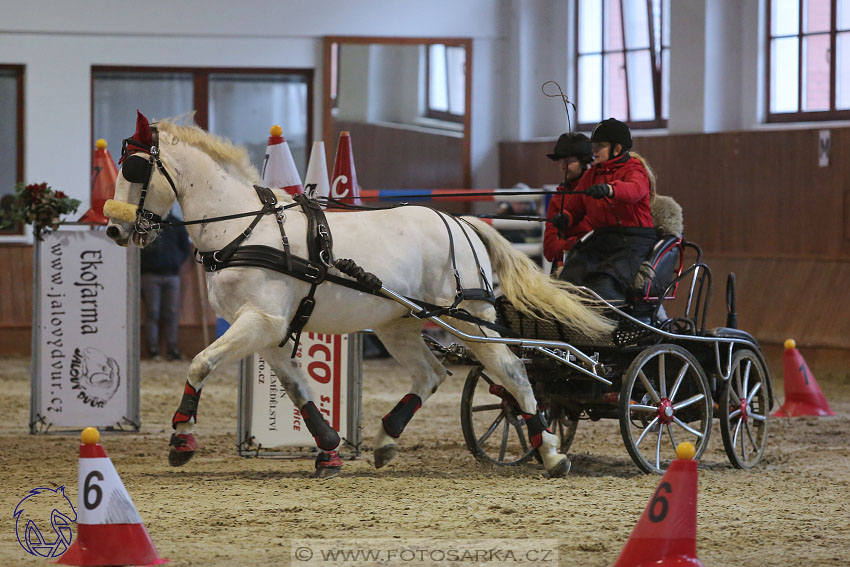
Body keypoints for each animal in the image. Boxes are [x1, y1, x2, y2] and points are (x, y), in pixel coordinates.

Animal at [104, 112, 608, 480]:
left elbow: (200, 363)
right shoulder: (269, 331)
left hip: (467, 316)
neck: (243, 227)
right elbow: (299, 389)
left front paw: (181, 438)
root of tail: (462, 221)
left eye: (135, 167)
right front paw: (328, 450)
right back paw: (387, 441)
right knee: (431, 374)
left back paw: (550, 453)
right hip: (399, 324)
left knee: (512, 372)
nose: (114, 229)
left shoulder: (262, 320)